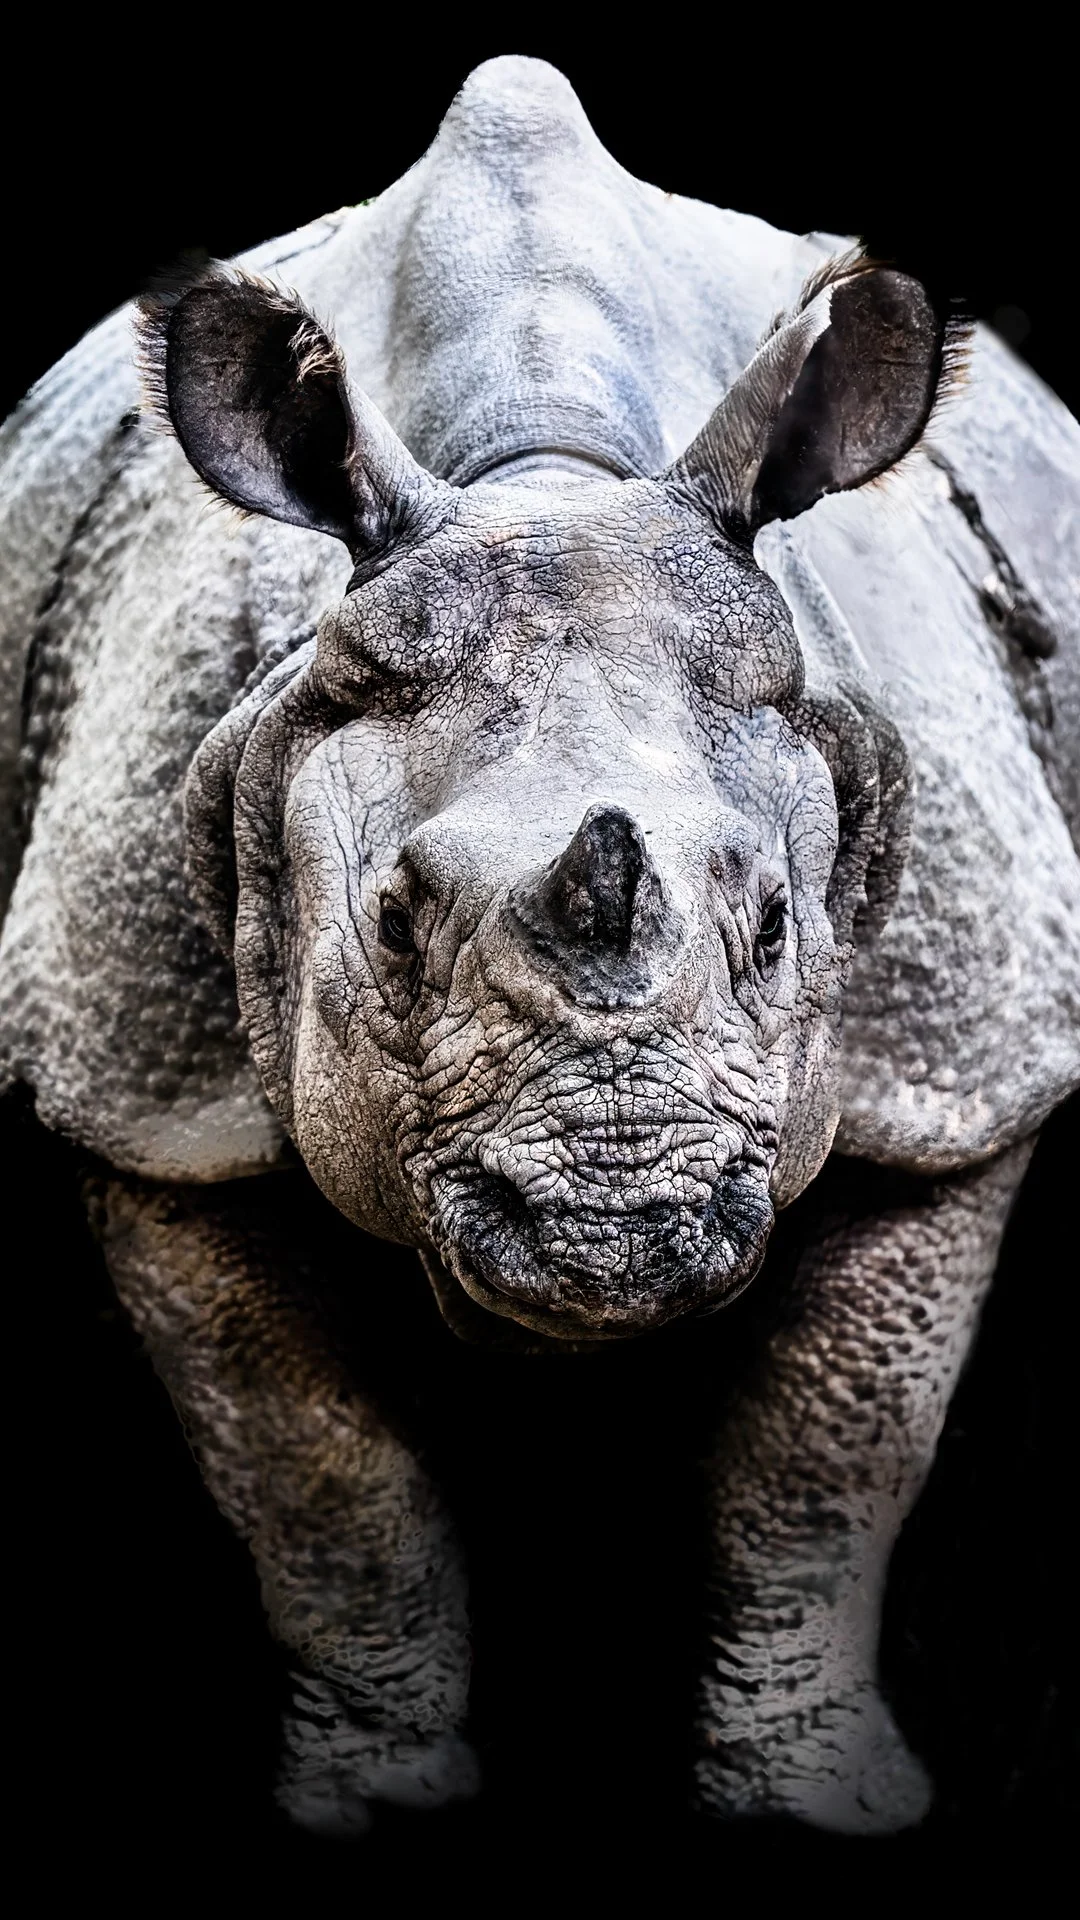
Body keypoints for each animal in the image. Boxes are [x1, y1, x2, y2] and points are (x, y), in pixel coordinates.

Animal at [1, 55, 1077, 1836]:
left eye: (775, 927)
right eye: (387, 925)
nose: (612, 1230)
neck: (543, 473)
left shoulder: (961, 1066)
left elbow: (833, 1443)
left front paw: (815, 1804)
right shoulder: (147, 1097)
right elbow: (312, 1468)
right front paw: (376, 1800)